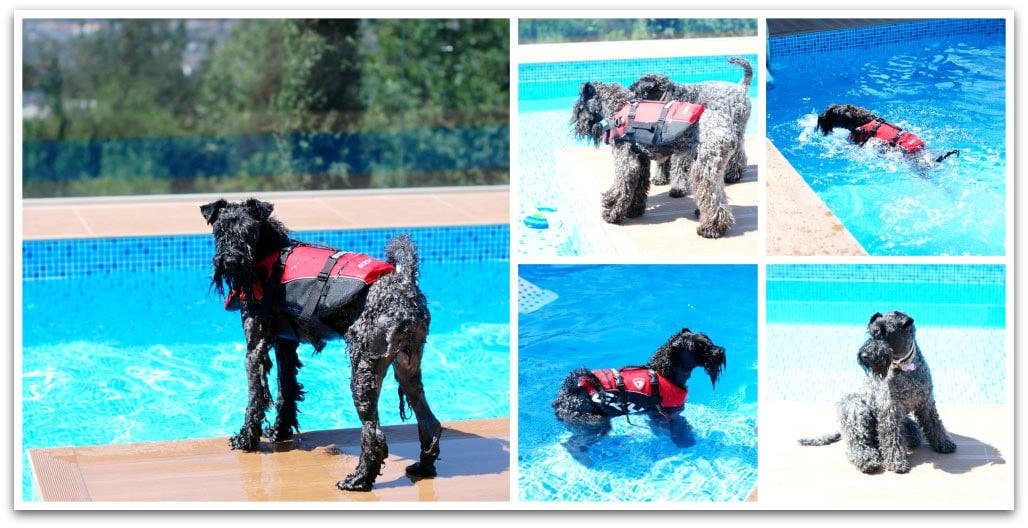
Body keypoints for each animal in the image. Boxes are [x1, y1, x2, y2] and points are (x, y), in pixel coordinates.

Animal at [551, 326, 727, 462]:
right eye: (699, 347)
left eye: (706, 340)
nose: (720, 351)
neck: (663, 372)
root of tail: (564, 396)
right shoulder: (668, 414)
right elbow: (678, 428)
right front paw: (685, 440)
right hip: (593, 423)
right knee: (573, 444)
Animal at [801, 308, 953, 472]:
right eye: (871, 333)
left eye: (886, 333)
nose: (864, 355)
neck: (905, 368)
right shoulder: (890, 409)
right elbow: (892, 437)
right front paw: (896, 461)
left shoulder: (926, 402)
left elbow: (934, 423)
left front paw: (944, 443)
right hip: (855, 408)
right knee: (858, 442)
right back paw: (867, 460)